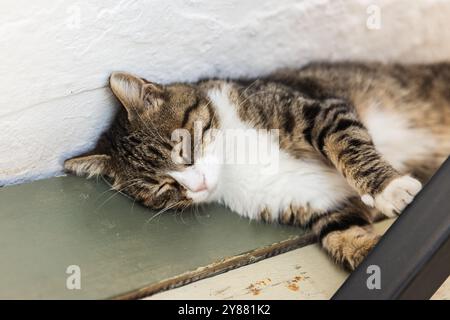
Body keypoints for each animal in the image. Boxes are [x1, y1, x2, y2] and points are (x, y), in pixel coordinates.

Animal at [65, 62, 450, 270]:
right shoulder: (320, 203)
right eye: (162, 188)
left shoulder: (317, 111)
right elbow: (346, 236)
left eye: (183, 149)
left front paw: (390, 189)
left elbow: (347, 143)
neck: (234, 164)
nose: (198, 185)